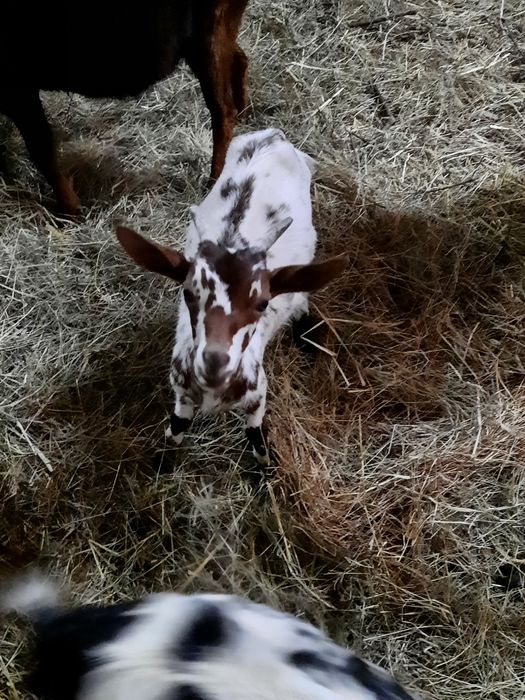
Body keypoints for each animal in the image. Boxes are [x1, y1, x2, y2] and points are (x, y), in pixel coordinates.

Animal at [0, 0, 249, 215]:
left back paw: (214, 183)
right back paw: (245, 115)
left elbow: (41, 149)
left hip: (210, 31)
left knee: (222, 110)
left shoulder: (17, 87)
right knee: (239, 59)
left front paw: (70, 211)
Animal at [116, 128, 348, 473]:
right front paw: (161, 463)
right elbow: (175, 430)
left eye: (263, 302)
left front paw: (265, 473)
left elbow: (257, 437)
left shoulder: (258, 394)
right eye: (188, 292)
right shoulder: (181, 393)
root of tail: (272, 135)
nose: (215, 363)